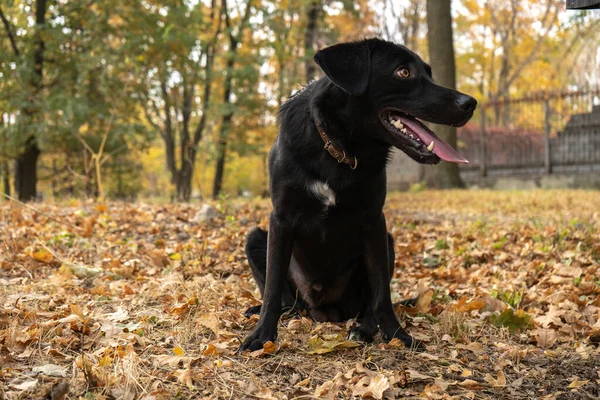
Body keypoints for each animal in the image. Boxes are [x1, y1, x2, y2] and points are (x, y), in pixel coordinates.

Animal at [237, 39, 476, 352]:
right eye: (403, 72)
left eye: (429, 73)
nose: (470, 103)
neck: (340, 151)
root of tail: (325, 311)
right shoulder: (281, 218)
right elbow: (273, 286)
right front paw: (262, 335)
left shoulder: (374, 220)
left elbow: (382, 294)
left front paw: (397, 335)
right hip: (256, 238)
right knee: (289, 302)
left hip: (387, 244)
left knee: (369, 304)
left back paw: (363, 329)